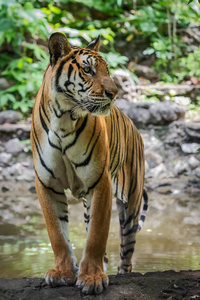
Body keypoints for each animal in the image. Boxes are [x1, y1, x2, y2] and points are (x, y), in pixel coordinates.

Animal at [30, 32, 148, 296]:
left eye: (107, 70)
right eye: (88, 70)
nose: (114, 93)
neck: (63, 118)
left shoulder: (99, 181)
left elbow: (96, 235)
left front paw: (92, 278)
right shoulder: (46, 183)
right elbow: (57, 233)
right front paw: (63, 272)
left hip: (131, 204)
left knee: (126, 253)